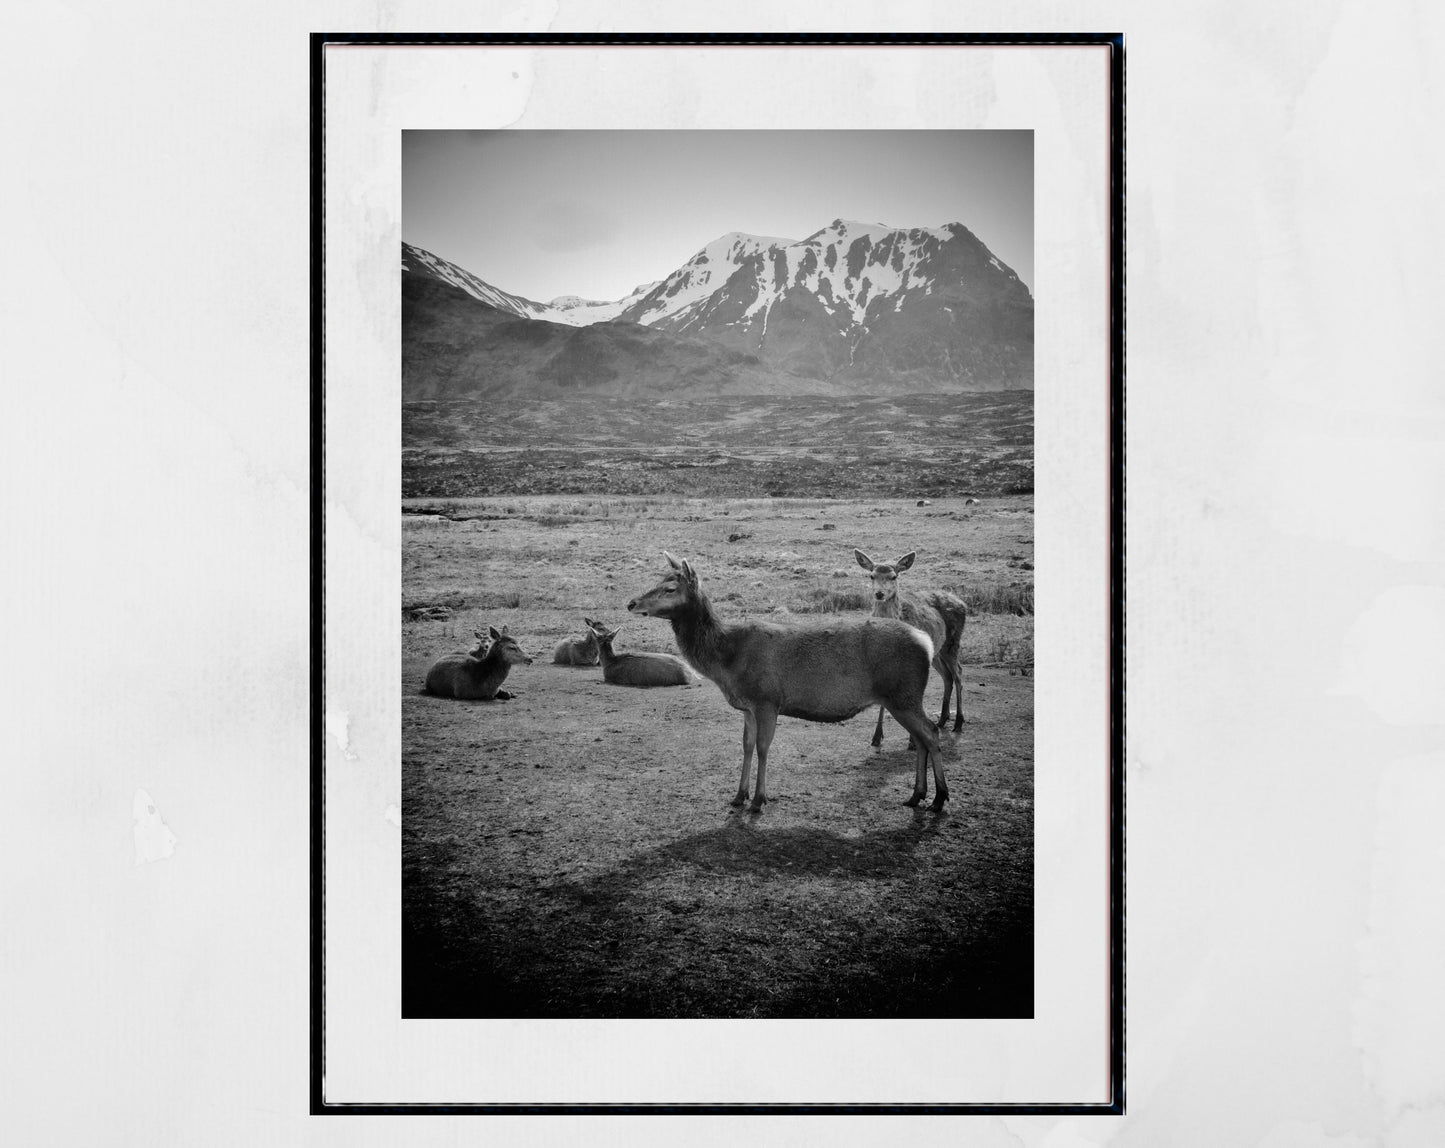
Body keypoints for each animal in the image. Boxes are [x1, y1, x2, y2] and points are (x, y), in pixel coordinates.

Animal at [624, 549, 947, 809]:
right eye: (658, 579)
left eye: (670, 588)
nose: (631, 603)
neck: (727, 663)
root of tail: (926, 642)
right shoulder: (748, 707)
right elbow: (746, 746)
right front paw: (738, 796)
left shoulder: (767, 699)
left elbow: (764, 747)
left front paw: (758, 799)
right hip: (901, 698)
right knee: (920, 738)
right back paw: (917, 796)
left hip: (904, 694)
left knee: (931, 733)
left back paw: (940, 798)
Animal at [849, 549, 965, 746]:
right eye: (871, 575)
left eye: (894, 576)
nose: (879, 593)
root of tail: (962, 602)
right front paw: (876, 737)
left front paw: (912, 741)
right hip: (937, 651)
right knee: (947, 676)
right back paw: (942, 720)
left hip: (953, 642)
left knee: (958, 674)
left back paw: (958, 722)